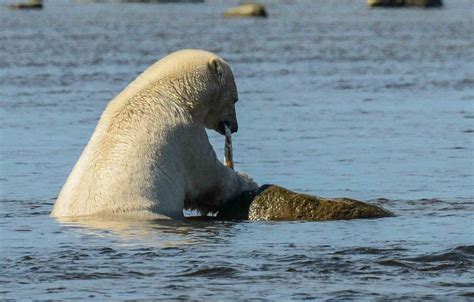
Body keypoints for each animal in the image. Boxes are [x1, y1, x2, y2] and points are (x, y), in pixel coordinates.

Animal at [50, 49, 258, 219]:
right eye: (235, 99)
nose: (235, 126)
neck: (173, 91)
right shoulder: (185, 134)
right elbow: (208, 176)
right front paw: (248, 180)